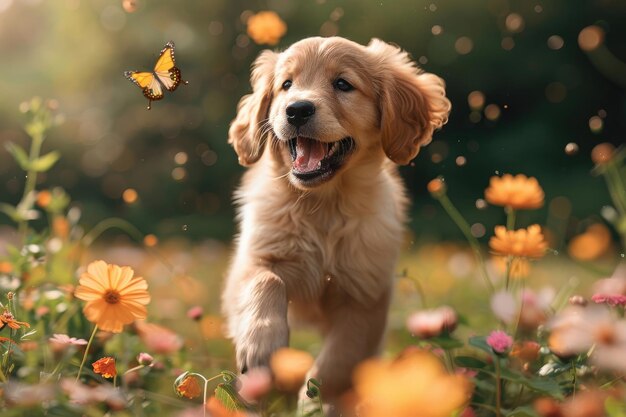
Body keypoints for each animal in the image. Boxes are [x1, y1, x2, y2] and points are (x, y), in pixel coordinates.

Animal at [223, 37, 448, 398]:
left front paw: (312, 397)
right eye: (286, 85)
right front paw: (262, 346)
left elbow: (340, 358)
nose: (297, 109)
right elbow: (266, 280)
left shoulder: (365, 297)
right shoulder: (251, 261)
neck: (324, 206)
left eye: (343, 84)